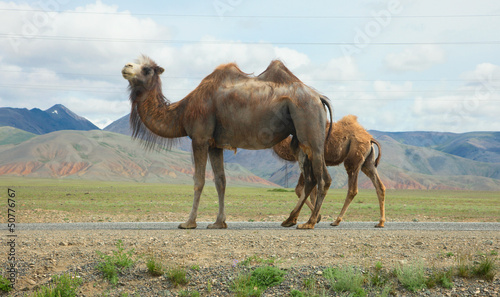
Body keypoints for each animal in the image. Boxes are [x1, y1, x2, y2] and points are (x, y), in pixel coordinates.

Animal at [121, 55, 332, 229]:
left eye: (147, 69)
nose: (126, 66)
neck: (182, 112)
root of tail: (319, 97)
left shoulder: (200, 138)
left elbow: (199, 180)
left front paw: (188, 223)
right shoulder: (215, 144)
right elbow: (220, 181)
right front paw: (218, 222)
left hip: (310, 127)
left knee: (322, 178)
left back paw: (309, 222)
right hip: (299, 140)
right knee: (312, 178)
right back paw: (290, 219)